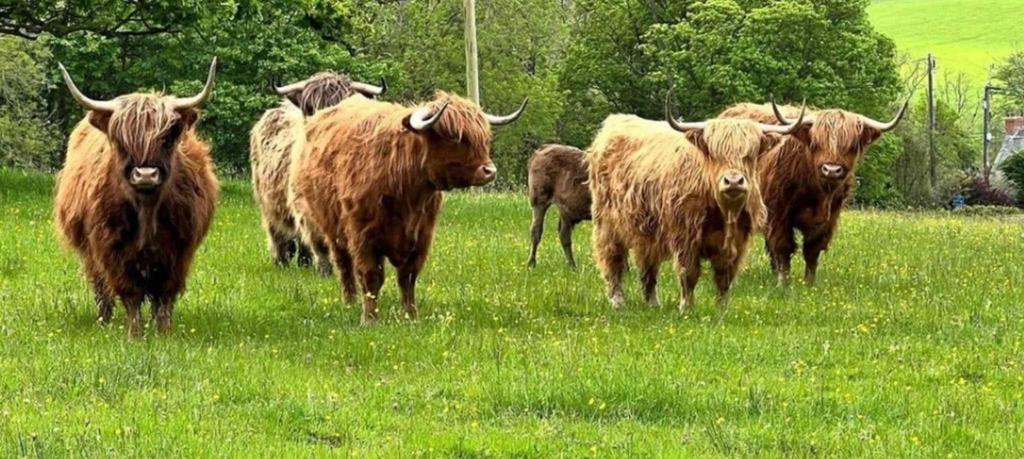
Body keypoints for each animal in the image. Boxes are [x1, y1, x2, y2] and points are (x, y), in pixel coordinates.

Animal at [52, 58, 219, 336]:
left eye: (167, 137)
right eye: (121, 140)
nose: (145, 175)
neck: (147, 210)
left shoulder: (178, 251)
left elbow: (164, 297)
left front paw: (164, 333)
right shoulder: (111, 249)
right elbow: (130, 294)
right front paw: (135, 335)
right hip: (90, 251)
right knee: (101, 287)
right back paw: (104, 320)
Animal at [249, 72, 385, 272]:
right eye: (311, 108)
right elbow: (319, 242)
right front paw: (325, 269)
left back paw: (303, 262)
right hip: (268, 203)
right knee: (277, 233)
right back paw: (282, 262)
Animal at [290, 92, 524, 323]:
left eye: (484, 138)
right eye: (454, 137)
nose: (490, 171)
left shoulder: (422, 236)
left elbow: (408, 278)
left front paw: (411, 316)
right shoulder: (363, 234)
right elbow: (371, 276)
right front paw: (370, 319)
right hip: (332, 229)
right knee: (344, 265)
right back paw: (350, 303)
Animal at [593, 94, 798, 313]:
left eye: (750, 154)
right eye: (715, 154)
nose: (733, 181)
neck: (723, 213)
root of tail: (614, 122)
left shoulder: (736, 242)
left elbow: (724, 277)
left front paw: (722, 309)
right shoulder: (685, 237)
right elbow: (688, 274)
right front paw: (686, 309)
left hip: (647, 230)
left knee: (648, 264)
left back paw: (653, 303)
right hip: (607, 224)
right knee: (612, 259)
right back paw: (618, 301)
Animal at [720, 101, 905, 284]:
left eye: (851, 146)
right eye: (816, 143)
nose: (831, 170)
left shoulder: (829, 218)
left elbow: (812, 250)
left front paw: (809, 283)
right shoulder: (778, 213)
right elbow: (782, 246)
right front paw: (783, 283)